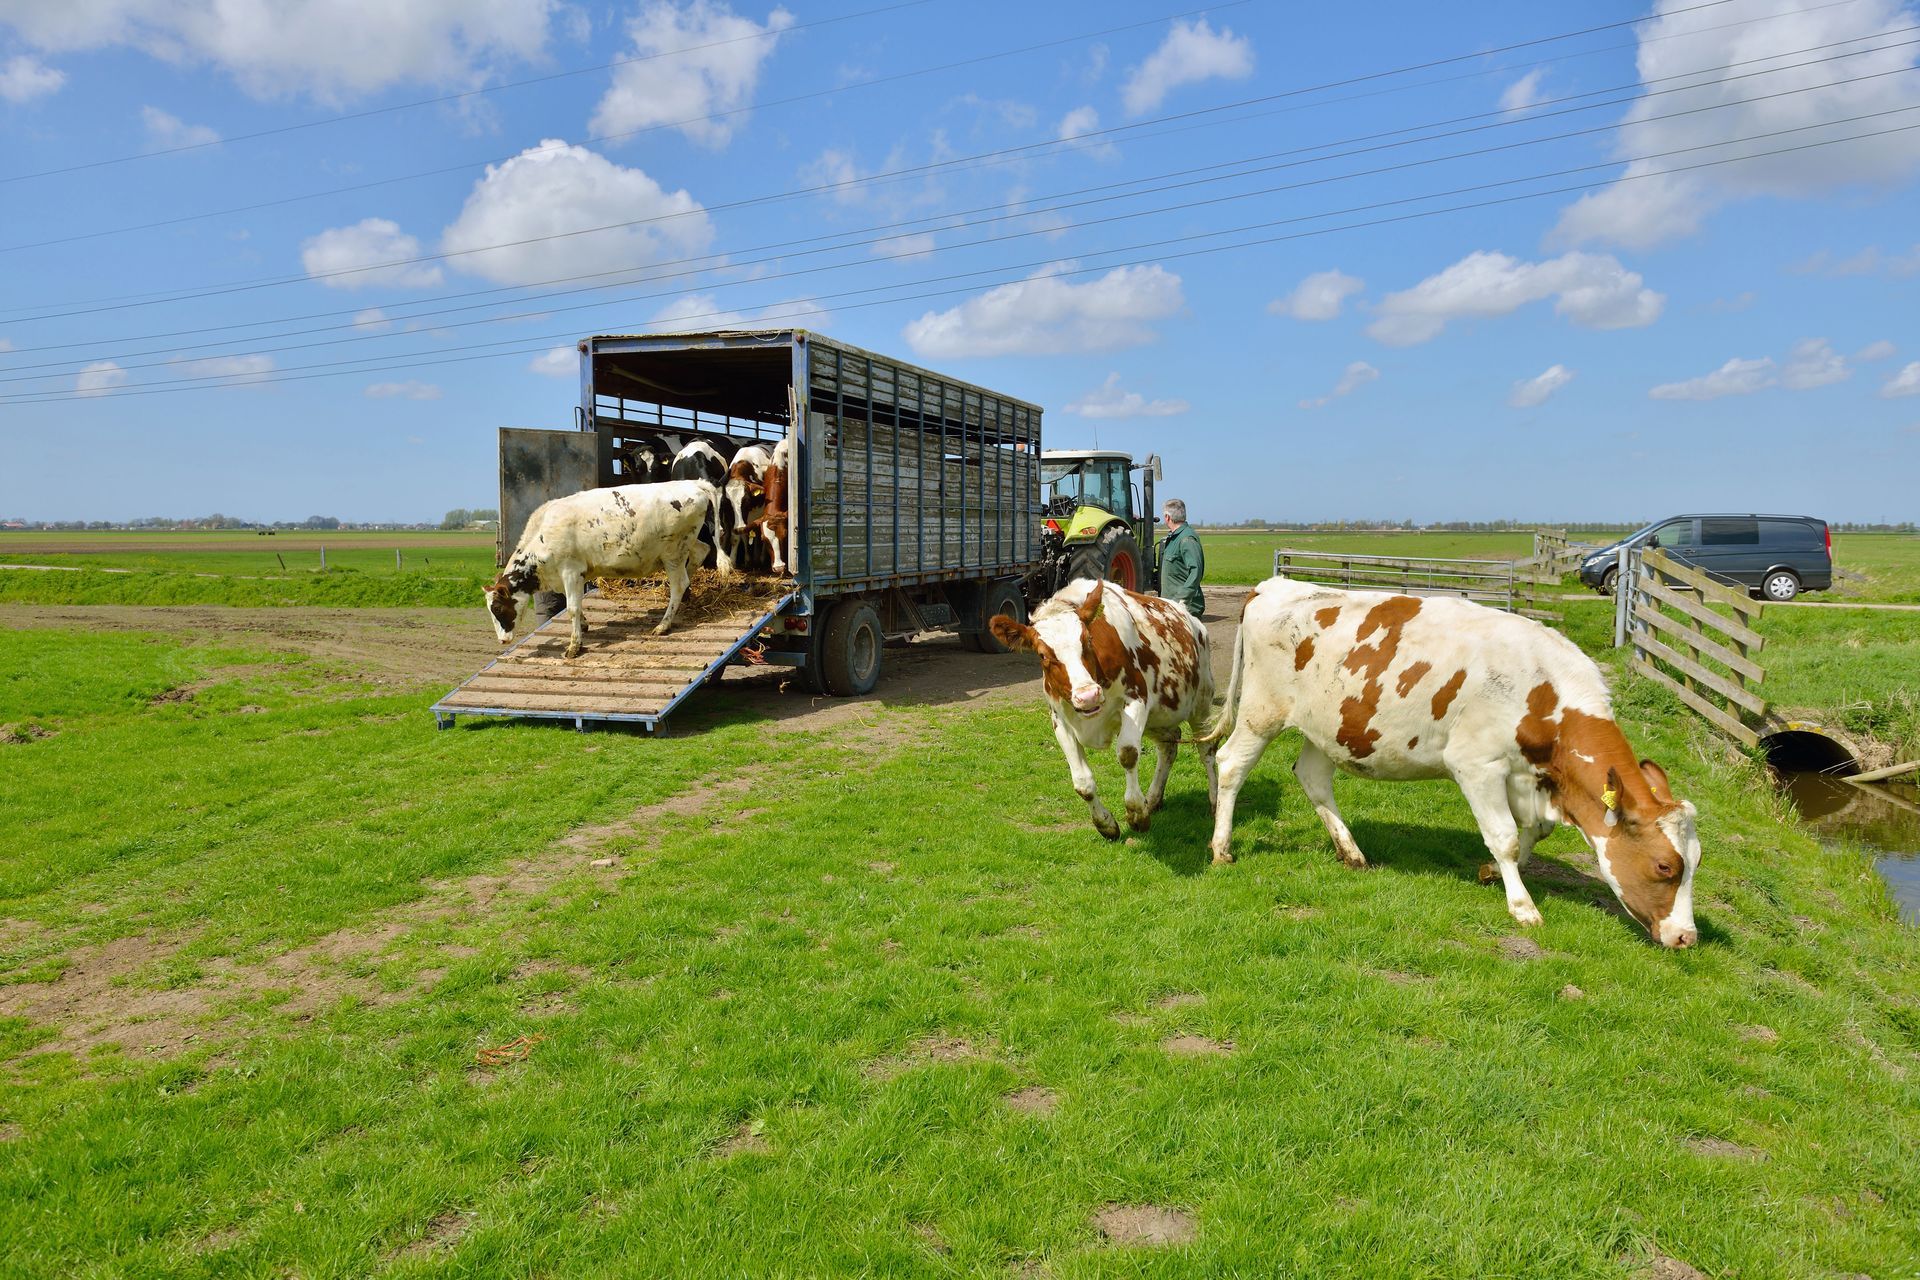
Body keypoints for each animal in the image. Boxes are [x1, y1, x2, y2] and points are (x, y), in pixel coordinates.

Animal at [485, 480, 715, 659]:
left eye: (497, 608)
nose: (502, 641)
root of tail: (694, 483)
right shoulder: (566, 577)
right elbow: (574, 604)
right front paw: (584, 624)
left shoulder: (571, 571)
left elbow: (572, 607)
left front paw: (574, 646)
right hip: (685, 546)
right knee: (701, 551)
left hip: (673, 553)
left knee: (679, 583)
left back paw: (664, 624)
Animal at [989, 578, 1218, 840]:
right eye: (1042, 655)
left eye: (1088, 640)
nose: (1087, 696)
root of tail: (1190, 618)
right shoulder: (1060, 720)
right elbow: (1082, 783)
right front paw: (1105, 823)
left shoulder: (1136, 700)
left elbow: (1128, 755)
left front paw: (1136, 813)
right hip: (1158, 716)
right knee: (1169, 746)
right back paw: (1153, 798)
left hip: (1200, 703)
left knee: (1206, 749)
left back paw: (1214, 802)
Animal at [1203, 576, 1702, 947]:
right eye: (1665, 867)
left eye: (1696, 861)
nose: (1687, 937)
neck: (1542, 687)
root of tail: (1273, 585)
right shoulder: (1477, 764)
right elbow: (1503, 837)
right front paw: (1523, 907)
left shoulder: (1529, 778)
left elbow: (1533, 833)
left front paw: (1494, 874)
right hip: (1262, 711)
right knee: (1230, 764)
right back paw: (1222, 849)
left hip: (1328, 727)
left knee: (1312, 778)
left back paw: (1353, 853)